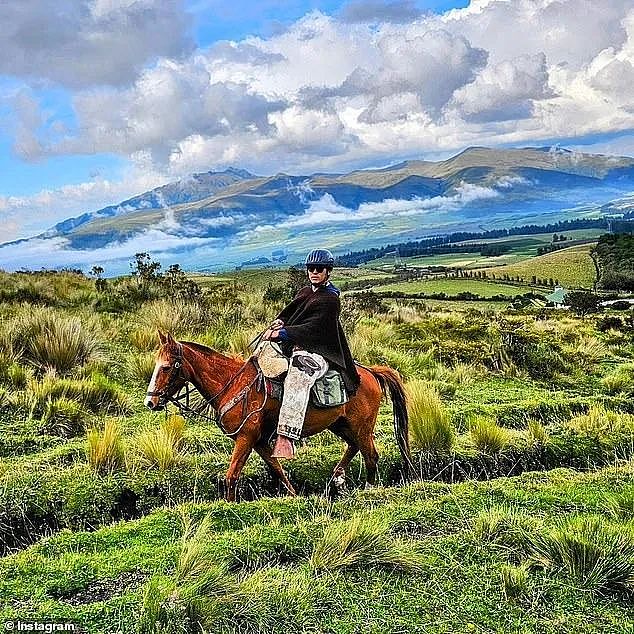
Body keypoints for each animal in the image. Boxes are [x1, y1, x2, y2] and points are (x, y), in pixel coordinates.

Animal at [144, 330, 410, 498]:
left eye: (165, 367)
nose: (150, 401)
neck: (233, 384)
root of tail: (371, 372)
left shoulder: (246, 438)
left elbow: (232, 476)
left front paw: (228, 507)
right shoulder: (259, 440)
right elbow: (277, 470)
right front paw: (294, 496)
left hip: (361, 426)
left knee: (371, 456)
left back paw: (368, 491)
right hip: (341, 424)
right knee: (354, 447)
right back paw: (337, 477)